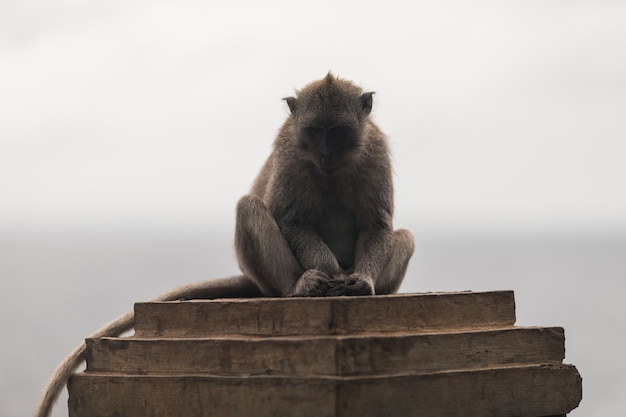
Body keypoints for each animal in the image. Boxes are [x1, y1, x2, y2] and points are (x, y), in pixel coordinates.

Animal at [35, 75, 414, 416]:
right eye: (315, 131)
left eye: (336, 131)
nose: (325, 153)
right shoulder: (290, 151)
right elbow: (292, 219)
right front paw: (330, 272)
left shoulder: (375, 151)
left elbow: (377, 224)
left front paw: (361, 281)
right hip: (267, 278)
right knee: (249, 208)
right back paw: (300, 286)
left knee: (405, 237)